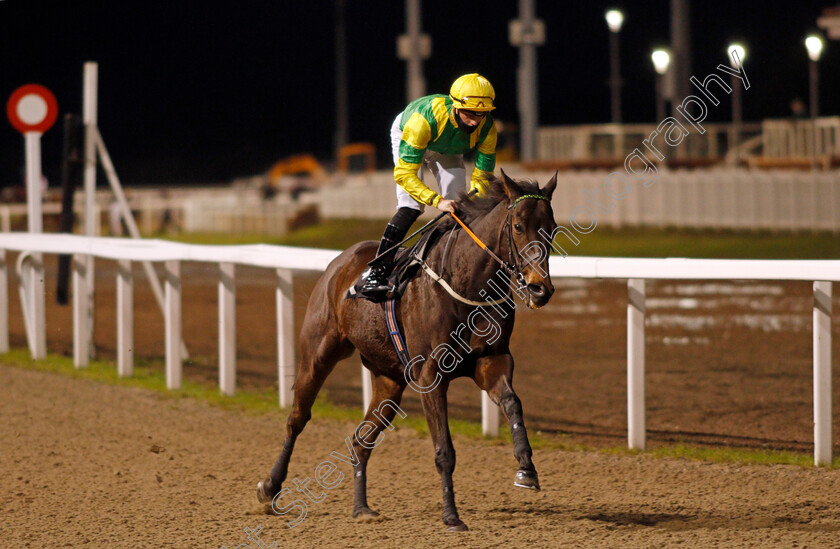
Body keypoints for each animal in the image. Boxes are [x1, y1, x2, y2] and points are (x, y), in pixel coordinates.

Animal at [256, 171, 556, 532]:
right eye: (518, 226)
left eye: (552, 227)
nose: (540, 288)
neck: (467, 285)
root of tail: (341, 262)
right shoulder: (431, 375)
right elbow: (444, 450)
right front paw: (451, 516)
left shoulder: (491, 361)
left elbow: (513, 402)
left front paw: (526, 468)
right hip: (318, 354)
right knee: (297, 419)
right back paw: (270, 487)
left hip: (389, 381)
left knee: (360, 439)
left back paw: (361, 507)